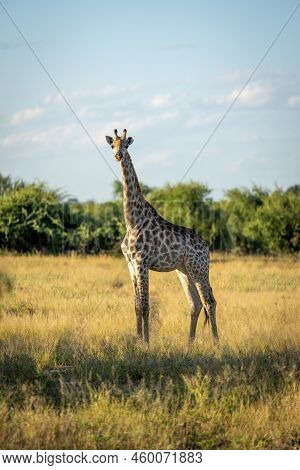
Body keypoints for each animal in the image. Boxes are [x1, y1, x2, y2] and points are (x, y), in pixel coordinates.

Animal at [105, 129, 218, 346]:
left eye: (126, 145)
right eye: (112, 145)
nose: (118, 155)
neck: (132, 220)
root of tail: (207, 247)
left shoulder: (142, 262)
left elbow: (146, 305)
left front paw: (147, 343)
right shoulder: (130, 264)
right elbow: (136, 305)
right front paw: (137, 340)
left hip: (199, 268)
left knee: (209, 301)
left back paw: (218, 344)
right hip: (184, 270)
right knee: (195, 303)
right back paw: (189, 345)